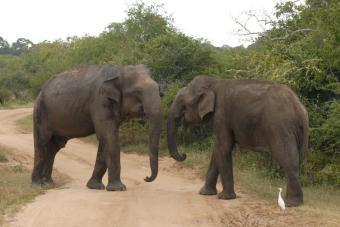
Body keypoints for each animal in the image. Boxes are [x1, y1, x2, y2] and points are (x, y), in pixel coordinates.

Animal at [31, 64, 162, 191]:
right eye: (137, 92)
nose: (146, 177)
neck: (118, 71)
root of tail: (39, 92)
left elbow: (105, 140)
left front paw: (95, 186)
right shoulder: (99, 101)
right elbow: (109, 137)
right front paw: (118, 188)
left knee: (53, 147)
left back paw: (48, 183)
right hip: (40, 112)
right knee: (42, 143)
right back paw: (37, 185)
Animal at [167, 76, 308, 206]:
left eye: (184, 105)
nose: (184, 154)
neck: (214, 82)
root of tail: (300, 109)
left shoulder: (221, 115)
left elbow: (223, 147)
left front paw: (224, 197)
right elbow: (217, 149)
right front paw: (205, 193)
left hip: (279, 126)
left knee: (287, 159)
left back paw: (291, 203)